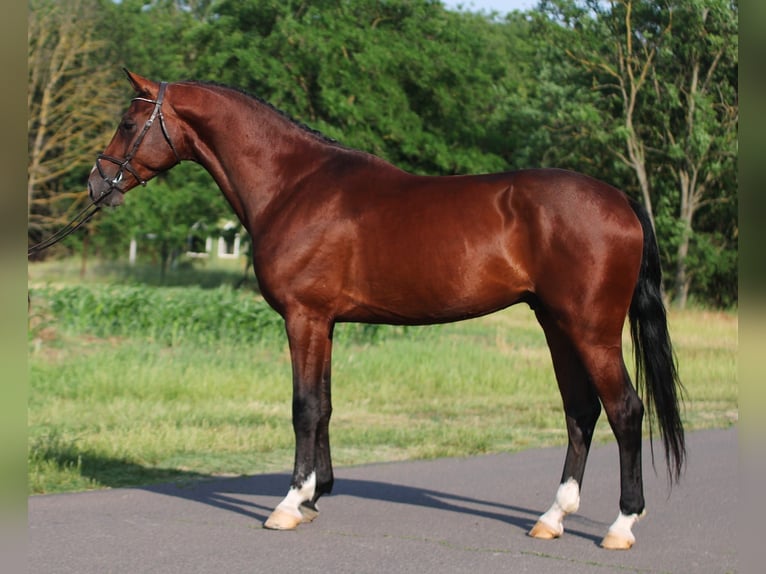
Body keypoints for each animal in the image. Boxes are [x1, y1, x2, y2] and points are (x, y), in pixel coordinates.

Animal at [88, 70, 685, 550]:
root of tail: (621, 200)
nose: (97, 183)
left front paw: (289, 505)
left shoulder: (304, 317)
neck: (294, 185)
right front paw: (314, 496)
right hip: (557, 325)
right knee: (580, 412)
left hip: (591, 330)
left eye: (127, 122)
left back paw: (621, 526)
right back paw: (552, 518)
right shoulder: (325, 322)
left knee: (625, 411)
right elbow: (325, 406)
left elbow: (304, 407)